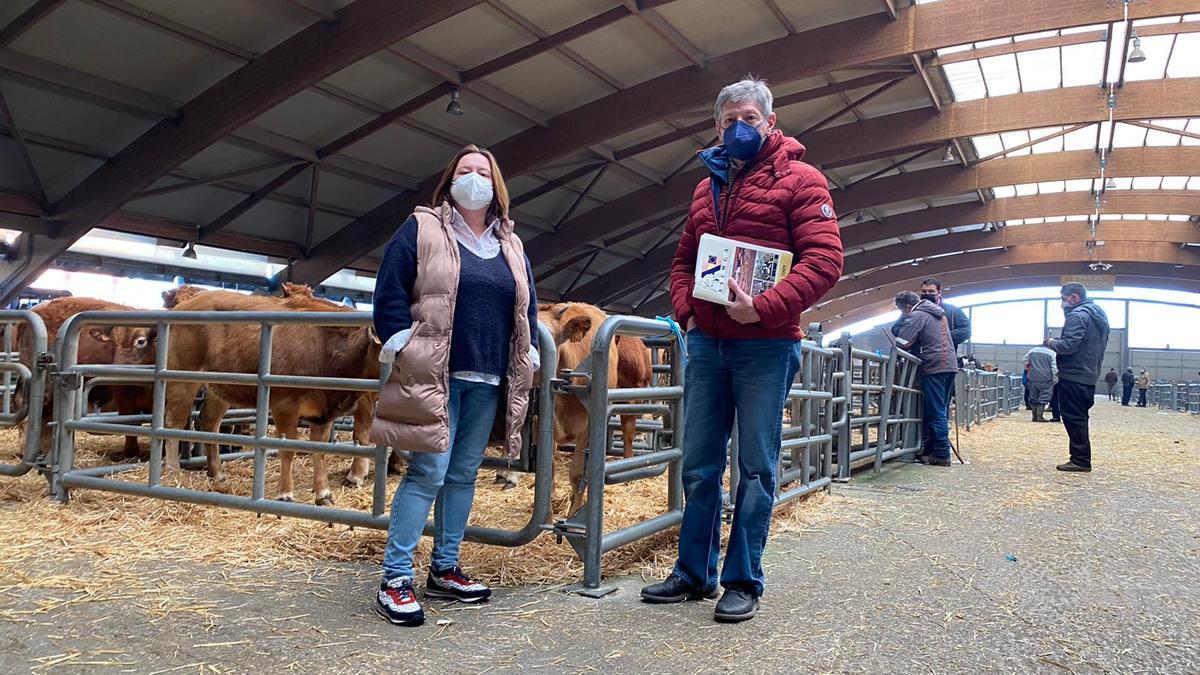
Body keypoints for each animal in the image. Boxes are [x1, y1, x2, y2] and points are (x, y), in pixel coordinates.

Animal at [164, 285, 376, 502]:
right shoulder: (285, 406)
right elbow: (288, 448)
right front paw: (285, 493)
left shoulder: (323, 413)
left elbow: (320, 449)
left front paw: (323, 493)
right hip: (182, 378)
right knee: (174, 422)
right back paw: (172, 471)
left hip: (219, 387)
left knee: (209, 422)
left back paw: (217, 472)